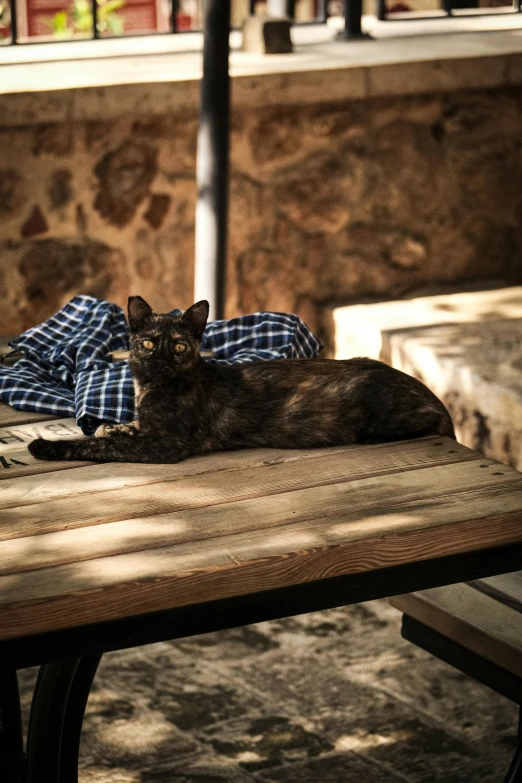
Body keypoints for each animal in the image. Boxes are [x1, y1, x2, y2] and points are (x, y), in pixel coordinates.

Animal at [27, 298, 450, 462]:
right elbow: (115, 430)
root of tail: (432, 395)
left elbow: (97, 446)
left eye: (178, 346)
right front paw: (113, 426)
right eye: (147, 343)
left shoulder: (165, 444)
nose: (161, 360)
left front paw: (46, 446)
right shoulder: (148, 428)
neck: (149, 389)